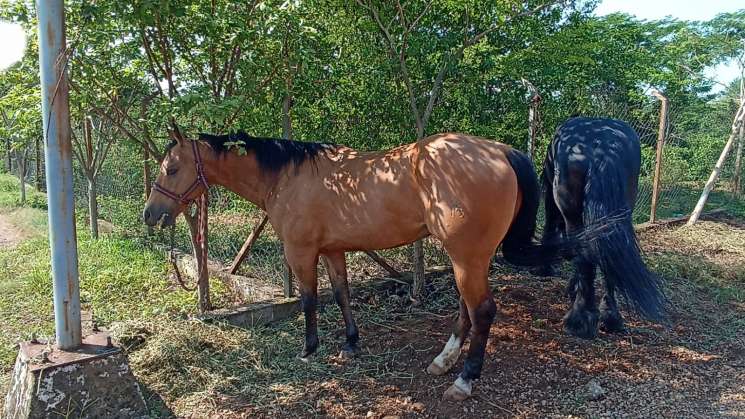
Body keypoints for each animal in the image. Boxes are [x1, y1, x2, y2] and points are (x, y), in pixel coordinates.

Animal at [143, 130, 543, 401]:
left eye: (172, 168)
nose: (150, 214)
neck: (288, 177)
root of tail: (499, 151)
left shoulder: (301, 251)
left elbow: (308, 299)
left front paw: (309, 349)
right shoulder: (333, 251)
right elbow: (341, 294)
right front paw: (351, 344)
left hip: (466, 256)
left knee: (483, 311)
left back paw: (464, 380)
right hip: (468, 258)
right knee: (467, 309)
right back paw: (443, 361)